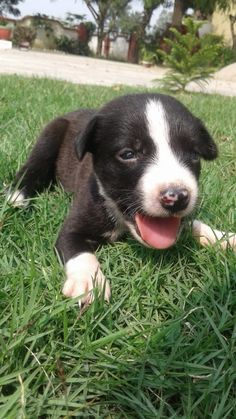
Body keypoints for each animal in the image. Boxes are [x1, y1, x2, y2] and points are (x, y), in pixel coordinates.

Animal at [9, 93, 236, 304]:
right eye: (128, 154)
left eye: (194, 155)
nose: (177, 197)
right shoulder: (73, 227)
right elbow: (79, 252)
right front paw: (89, 282)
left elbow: (192, 223)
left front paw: (225, 238)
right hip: (50, 136)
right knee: (32, 168)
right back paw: (16, 197)